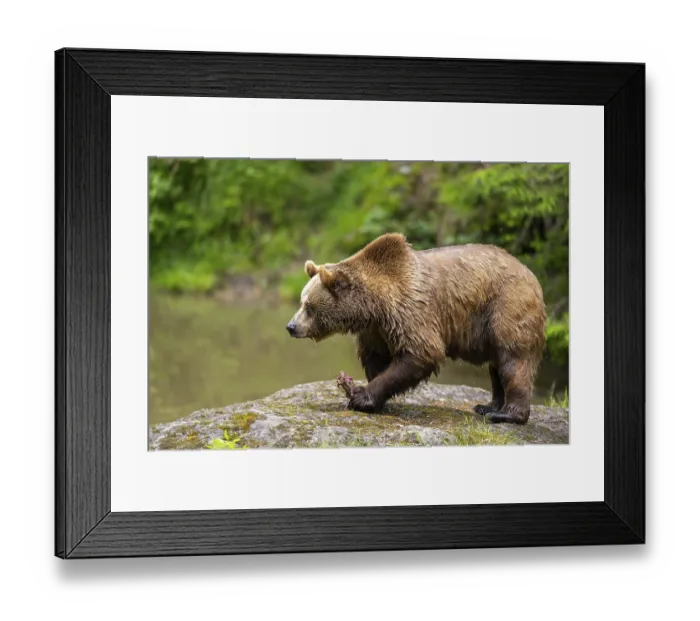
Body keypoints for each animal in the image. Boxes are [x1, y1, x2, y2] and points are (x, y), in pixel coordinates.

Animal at [286, 233, 547, 424]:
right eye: (301, 301)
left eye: (309, 306)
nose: (291, 326)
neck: (373, 305)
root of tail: (530, 273)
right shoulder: (375, 329)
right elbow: (375, 357)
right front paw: (370, 398)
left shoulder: (410, 311)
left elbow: (421, 352)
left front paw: (361, 397)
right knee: (496, 365)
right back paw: (487, 405)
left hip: (505, 306)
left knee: (513, 360)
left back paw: (506, 414)